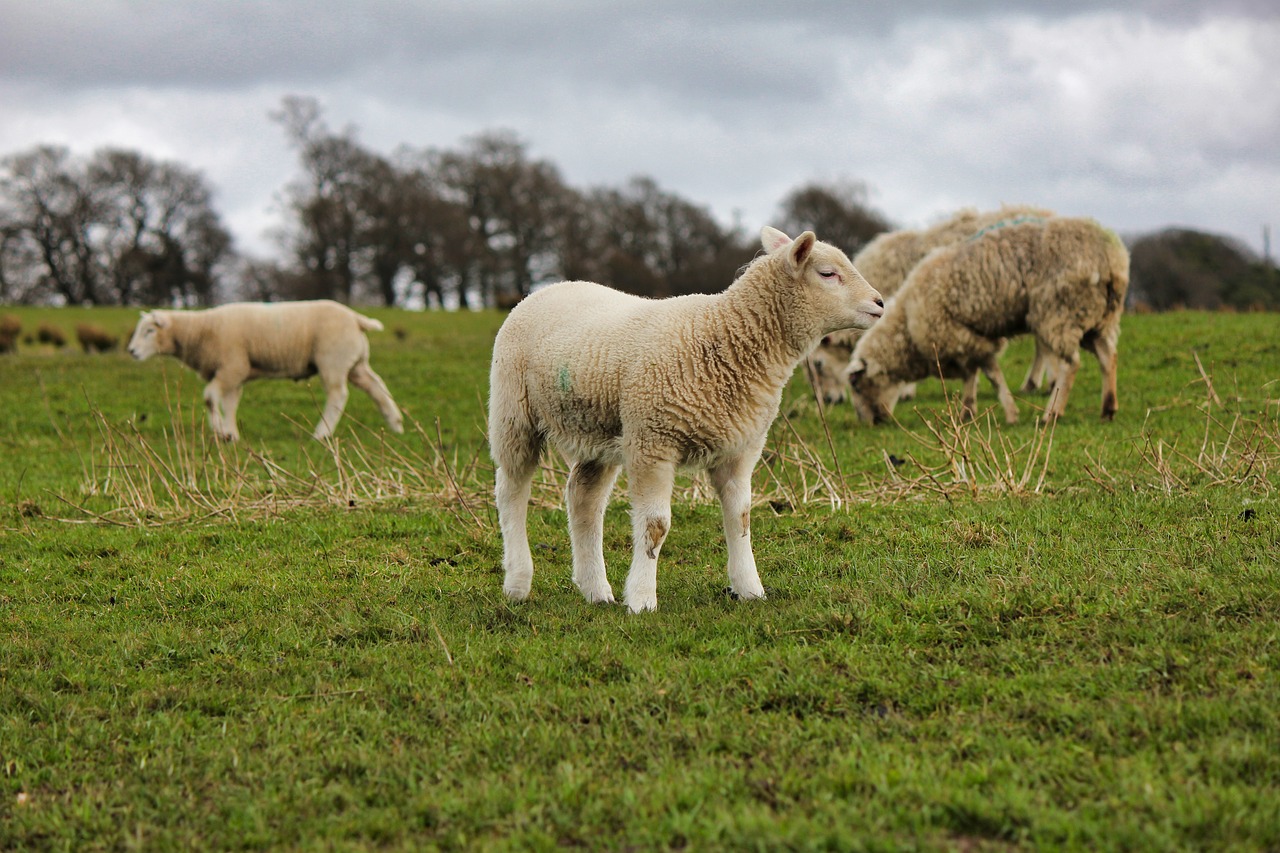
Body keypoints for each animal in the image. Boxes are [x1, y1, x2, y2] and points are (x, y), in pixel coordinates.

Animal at [125, 297, 401, 438]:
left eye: (149, 331)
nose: (132, 351)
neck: (199, 331)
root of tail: (356, 318)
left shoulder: (232, 367)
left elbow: (210, 398)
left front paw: (221, 431)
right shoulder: (235, 374)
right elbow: (230, 403)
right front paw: (231, 433)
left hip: (332, 361)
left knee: (338, 395)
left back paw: (321, 433)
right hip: (355, 363)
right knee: (377, 387)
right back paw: (395, 423)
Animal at [483, 225, 885, 612]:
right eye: (828, 273)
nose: (880, 303)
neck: (725, 340)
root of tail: (549, 288)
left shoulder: (740, 449)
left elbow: (741, 519)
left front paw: (750, 589)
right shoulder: (652, 441)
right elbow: (655, 526)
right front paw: (642, 599)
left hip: (598, 430)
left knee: (583, 499)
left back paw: (595, 590)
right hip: (513, 414)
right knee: (511, 491)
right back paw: (518, 582)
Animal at [849, 213, 1131, 422]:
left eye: (857, 386)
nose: (869, 422)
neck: (908, 324)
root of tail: (1112, 257)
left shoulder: (960, 336)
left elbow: (989, 376)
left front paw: (1005, 413)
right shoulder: (968, 341)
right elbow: (976, 374)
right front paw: (970, 412)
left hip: (1061, 312)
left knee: (1071, 364)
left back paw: (1052, 413)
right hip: (1098, 317)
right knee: (1108, 357)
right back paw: (1108, 408)